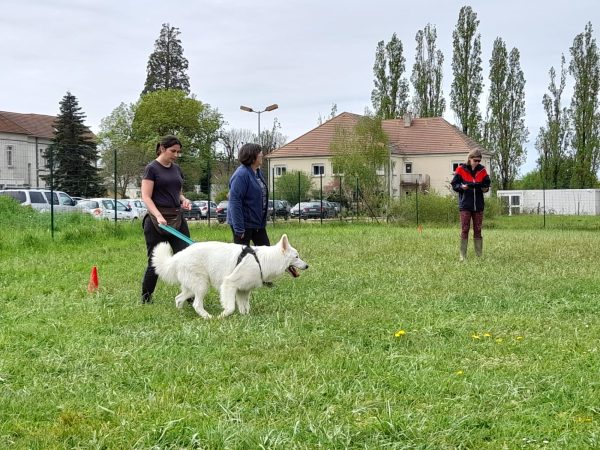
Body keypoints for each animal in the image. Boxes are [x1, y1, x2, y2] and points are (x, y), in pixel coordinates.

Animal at [150, 234, 310, 318]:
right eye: (297, 257)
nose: (307, 266)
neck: (261, 261)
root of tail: (177, 257)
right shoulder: (229, 284)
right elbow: (231, 307)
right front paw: (223, 316)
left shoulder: (243, 291)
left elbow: (245, 307)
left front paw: (245, 318)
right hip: (202, 286)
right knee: (196, 304)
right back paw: (208, 317)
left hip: (192, 287)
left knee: (178, 298)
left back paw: (181, 313)